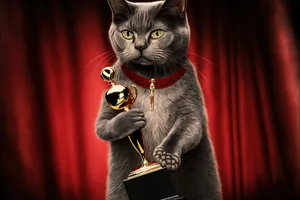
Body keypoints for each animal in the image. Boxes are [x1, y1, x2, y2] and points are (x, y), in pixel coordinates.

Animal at [95, 0, 221, 199]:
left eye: (157, 33)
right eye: (127, 33)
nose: (139, 46)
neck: (151, 79)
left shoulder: (192, 104)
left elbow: (188, 128)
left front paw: (165, 156)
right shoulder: (108, 107)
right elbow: (102, 127)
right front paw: (130, 118)